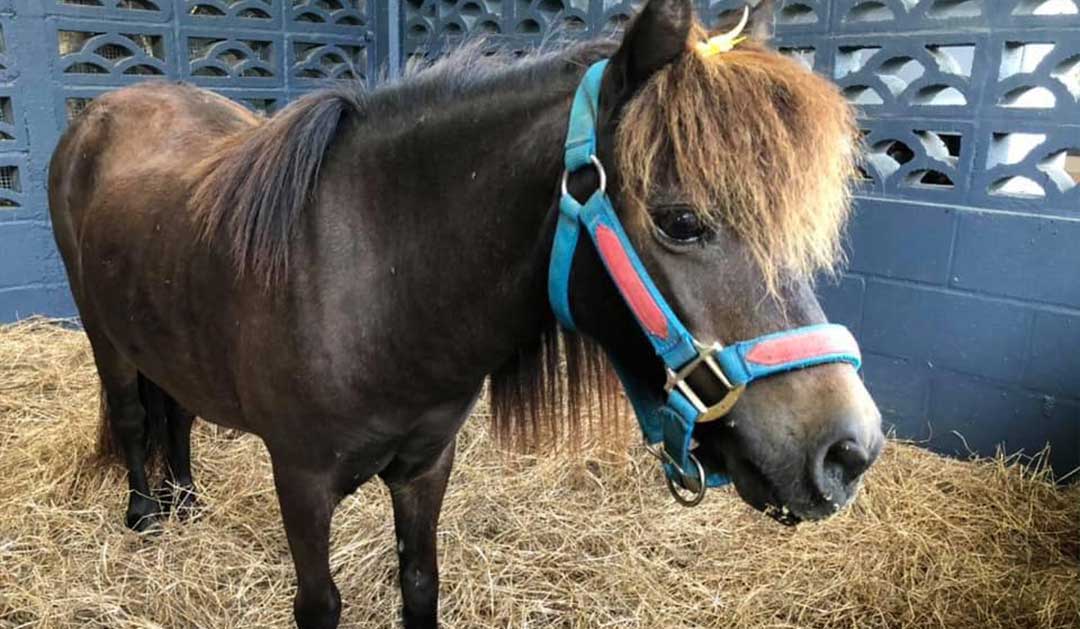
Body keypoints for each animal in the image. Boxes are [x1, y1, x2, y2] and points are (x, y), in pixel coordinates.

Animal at [46, 0, 881, 626]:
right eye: (680, 221)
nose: (850, 450)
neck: (370, 277)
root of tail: (102, 110)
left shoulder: (426, 466)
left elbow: (420, 583)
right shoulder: (302, 480)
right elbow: (321, 603)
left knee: (178, 416)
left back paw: (187, 504)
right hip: (104, 336)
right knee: (133, 418)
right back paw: (147, 516)